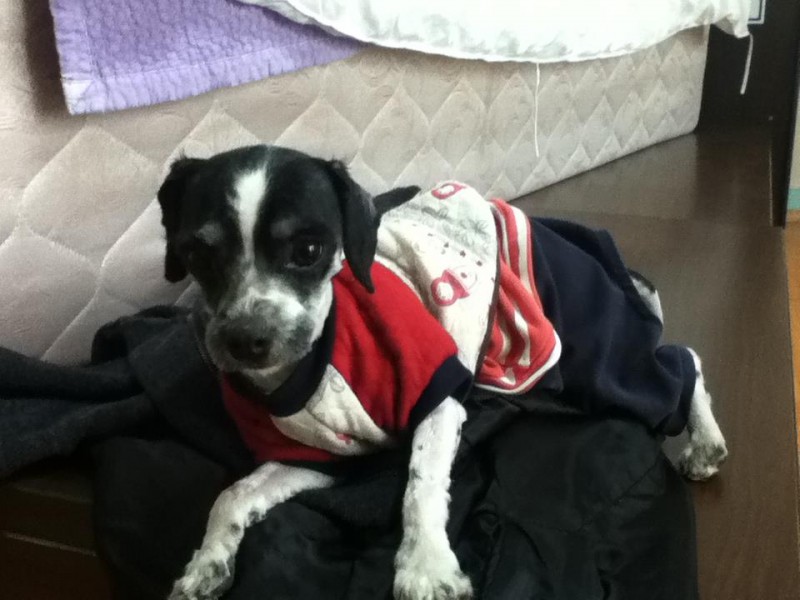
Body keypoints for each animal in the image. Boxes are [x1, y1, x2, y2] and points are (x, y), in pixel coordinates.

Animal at [157, 145, 728, 600]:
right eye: (197, 253)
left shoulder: (438, 395)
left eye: (309, 250)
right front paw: (206, 563)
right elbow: (231, 495)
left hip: (597, 354)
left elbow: (422, 482)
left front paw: (426, 566)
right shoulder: (316, 459)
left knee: (682, 363)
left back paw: (706, 441)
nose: (245, 341)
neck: (314, 362)